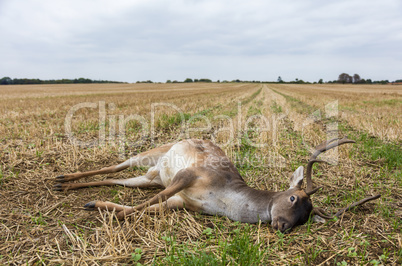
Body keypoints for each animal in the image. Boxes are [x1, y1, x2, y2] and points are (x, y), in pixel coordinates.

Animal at [54, 137, 380, 233]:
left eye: (308, 216)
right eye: (293, 198)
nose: (283, 226)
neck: (223, 199)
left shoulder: (183, 203)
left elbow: (150, 206)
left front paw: (100, 208)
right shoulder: (188, 176)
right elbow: (146, 205)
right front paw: (110, 218)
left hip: (150, 176)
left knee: (119, 180)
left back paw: (70, 190)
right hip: (153, 155)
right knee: (116, 165)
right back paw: (62, 179)